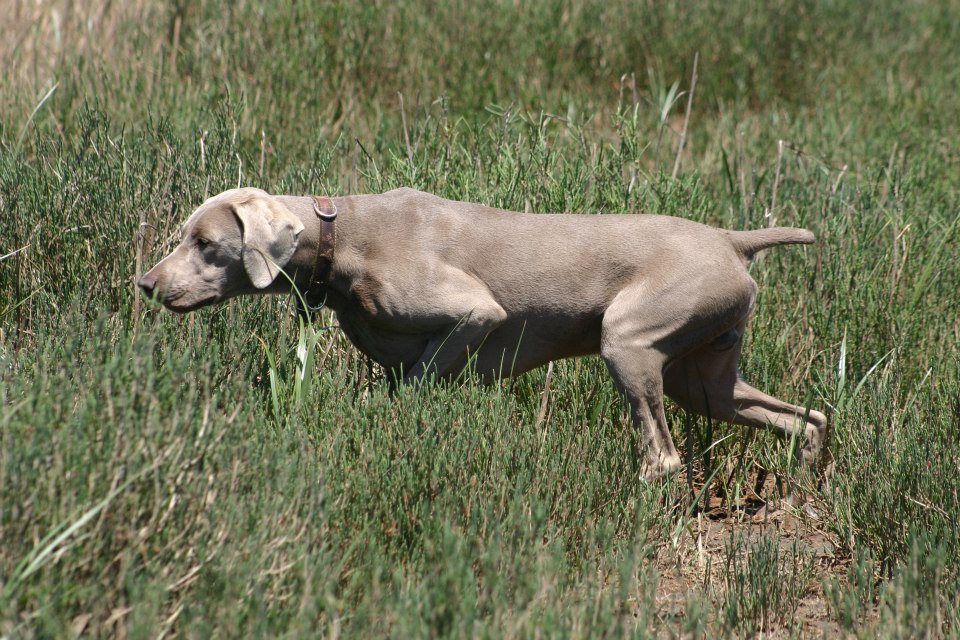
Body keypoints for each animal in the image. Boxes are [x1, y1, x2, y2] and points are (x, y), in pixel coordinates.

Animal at [139, 188, 828, 478]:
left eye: (207, 243)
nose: (146, 283)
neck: (341, 236)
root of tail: (732, 240)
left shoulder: (475, 315)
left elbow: (424, 378)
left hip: (629, 339)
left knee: (662, 456)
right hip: (704, 376)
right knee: (807, 419)